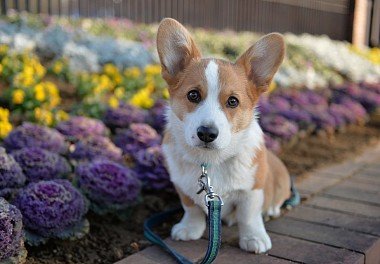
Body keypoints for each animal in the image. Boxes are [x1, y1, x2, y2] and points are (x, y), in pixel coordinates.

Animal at [157, 18, 290, 254]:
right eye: (193, 95)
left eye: (233, 101)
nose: (206, 133)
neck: (210, 161)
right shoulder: (182, 186)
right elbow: (191, 208)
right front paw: (189, 228)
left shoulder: (252, 190)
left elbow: (249, 216)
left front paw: (254, 238)